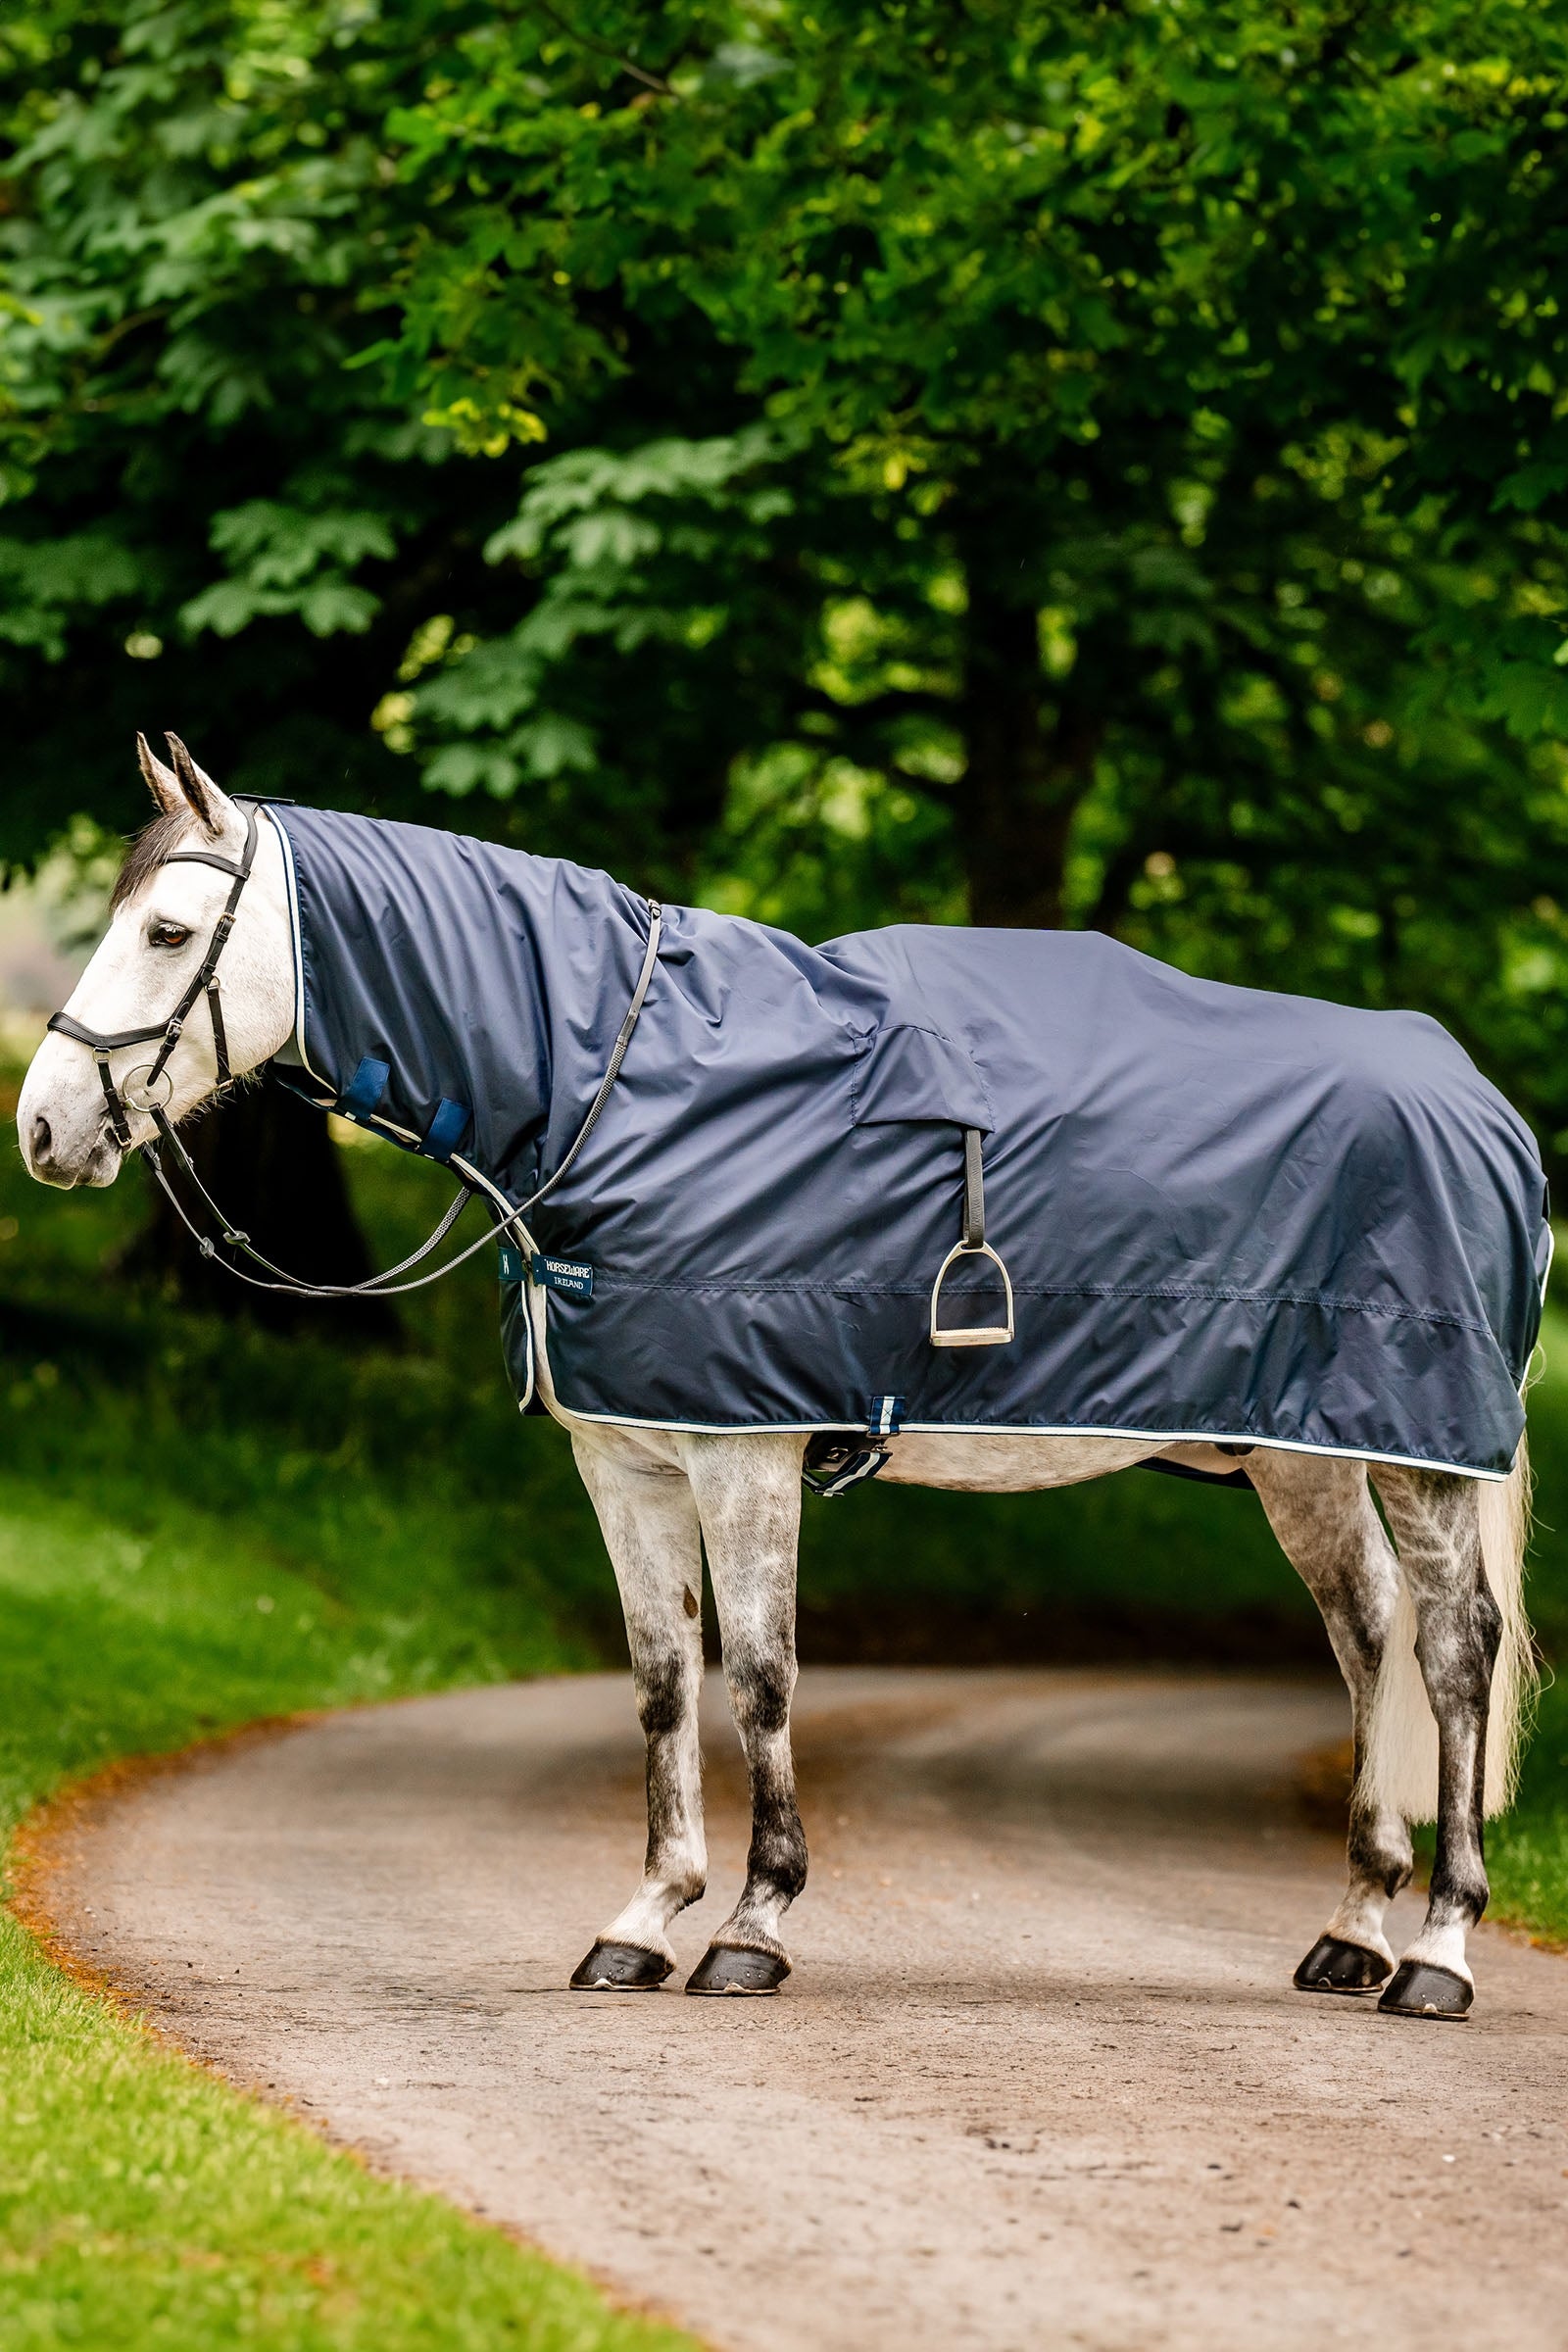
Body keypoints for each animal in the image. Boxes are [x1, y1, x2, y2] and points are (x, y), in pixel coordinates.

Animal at [17, 736, 1538, 2020]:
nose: (41, 1126)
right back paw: (1355, 1927)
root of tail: (1483, 1103)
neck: (619, 1081)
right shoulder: (627, 1455)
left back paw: (1440, 1952)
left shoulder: (743, 1448)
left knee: (1454, 1654)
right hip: (1304, 1455)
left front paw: (753, 1925)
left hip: (1421, 1456)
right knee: (1367, 1638)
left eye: (164, 933)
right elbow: (658, 1679)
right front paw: (643, 1920)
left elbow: (756, 1676)